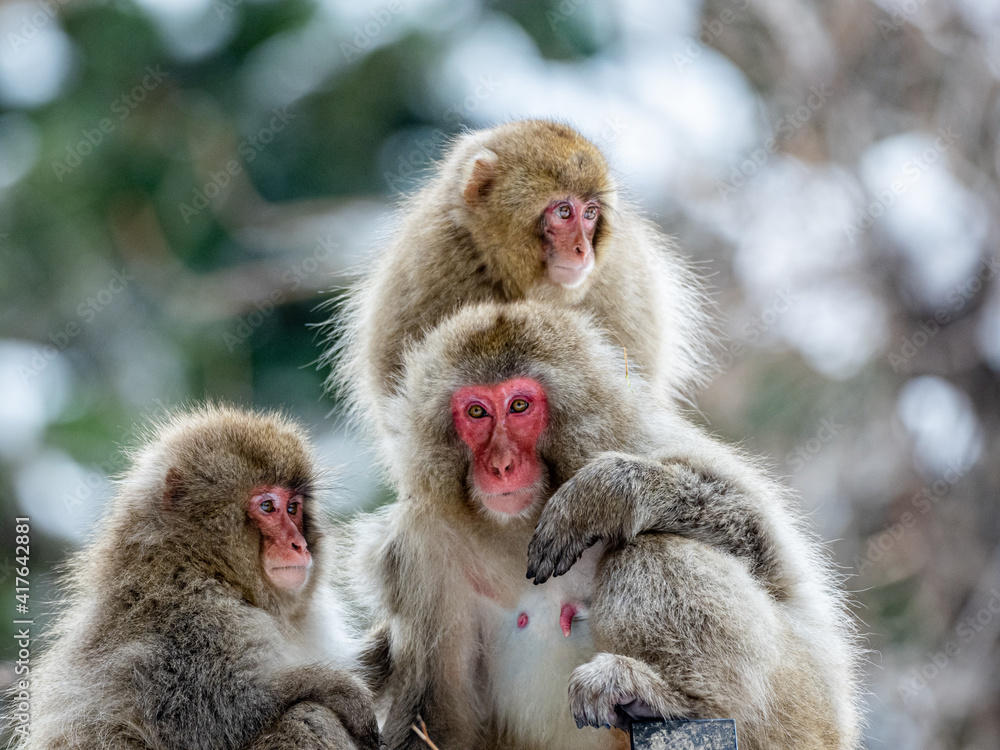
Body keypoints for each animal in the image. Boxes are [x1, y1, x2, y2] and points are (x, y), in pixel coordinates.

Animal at [18, 405, 381, 750]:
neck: (200, 564)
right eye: (267, 506)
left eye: (293, 508)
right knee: (307, 716)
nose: (299, 544)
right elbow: (206, 716)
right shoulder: (193, 621)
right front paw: (337, 688)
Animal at [348, 301, 861, 750]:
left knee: (653, 550)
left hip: (800, 712)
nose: (500, 465)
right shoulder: (419, 548)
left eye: (519, 406)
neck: (517, 525)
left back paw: (668, 697)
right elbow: (437, 717)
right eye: (476, 412)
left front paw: (601, 497)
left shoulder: (640, 437)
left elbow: (767, 553)